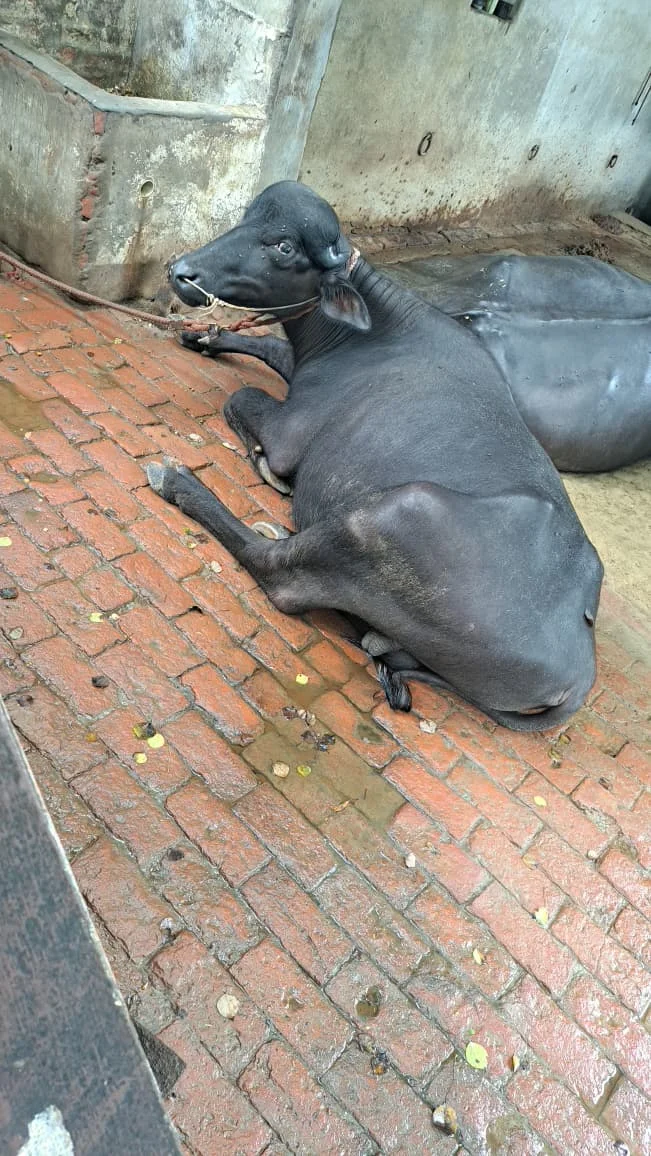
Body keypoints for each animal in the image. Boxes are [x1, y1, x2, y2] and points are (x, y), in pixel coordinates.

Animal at [148, 181, 603, 732]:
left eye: (284, 246)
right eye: (247, 218)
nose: (182, 271)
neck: (363, 334)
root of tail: (577, 672)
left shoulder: (289, 434)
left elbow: (241, 398)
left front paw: (264, 466)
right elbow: (270, 351)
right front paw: (205, 336)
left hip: (395, 515)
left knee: (280, 575)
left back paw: (181, 484)